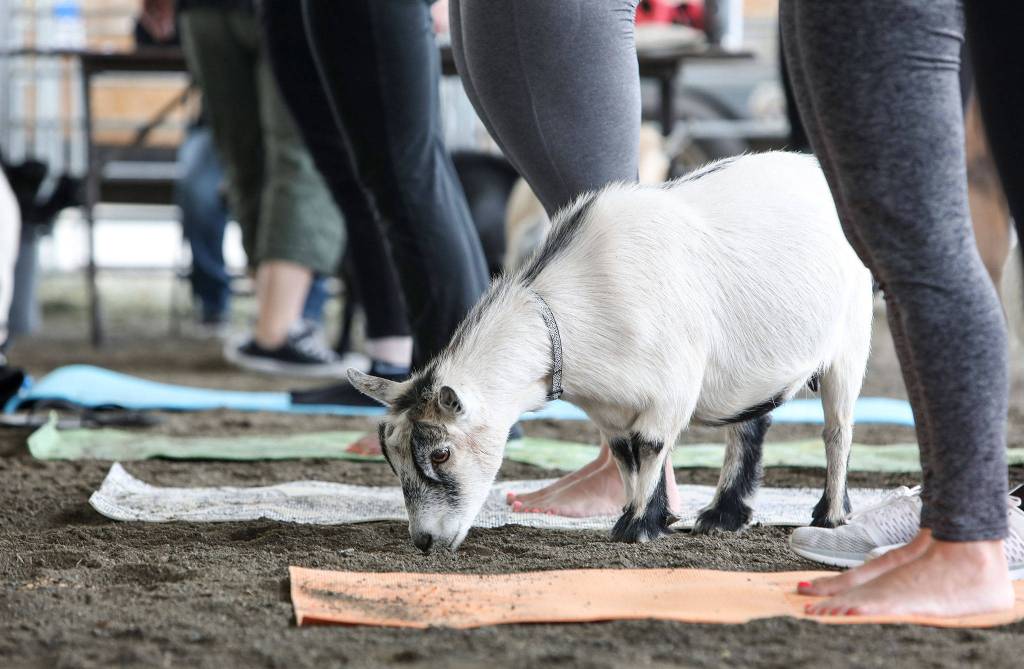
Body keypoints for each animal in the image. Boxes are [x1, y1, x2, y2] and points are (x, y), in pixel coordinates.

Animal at [351, 151, 874, 552]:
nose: (425, 541)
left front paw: (636, 528)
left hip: (851, 340)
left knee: (837, 431)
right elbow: (625, 455)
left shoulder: (671, 390)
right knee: (750, 425)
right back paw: (723, 515)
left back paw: (829, 515)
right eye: (391, 458)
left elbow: (651, 446)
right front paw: (648, 516)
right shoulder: (610, 408)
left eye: (440, 454)